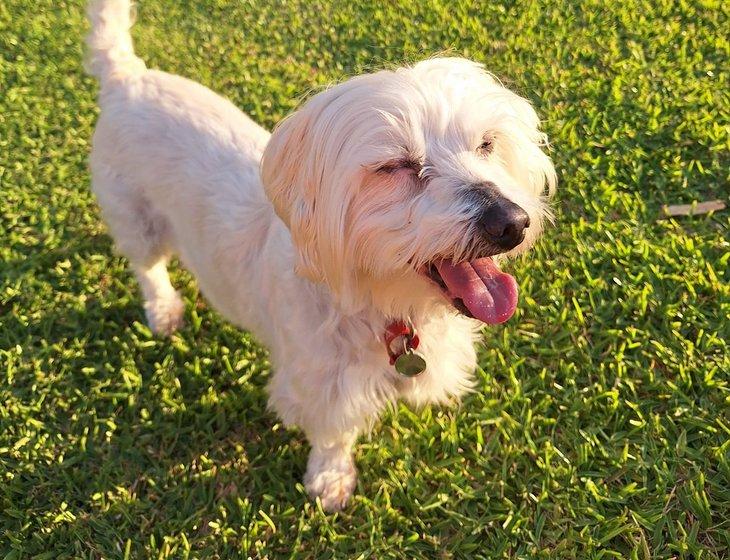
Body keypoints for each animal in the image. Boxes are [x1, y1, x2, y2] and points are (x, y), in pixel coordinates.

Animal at [85, 0, 556, 510]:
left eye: (487, 144)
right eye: (395, 166)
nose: (511, 222)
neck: (378, 303)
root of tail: (127, 76)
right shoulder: (323, 384)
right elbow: (333, 434)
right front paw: (331, 478)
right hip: (136, 217)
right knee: (147, 266)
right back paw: (163, 308)